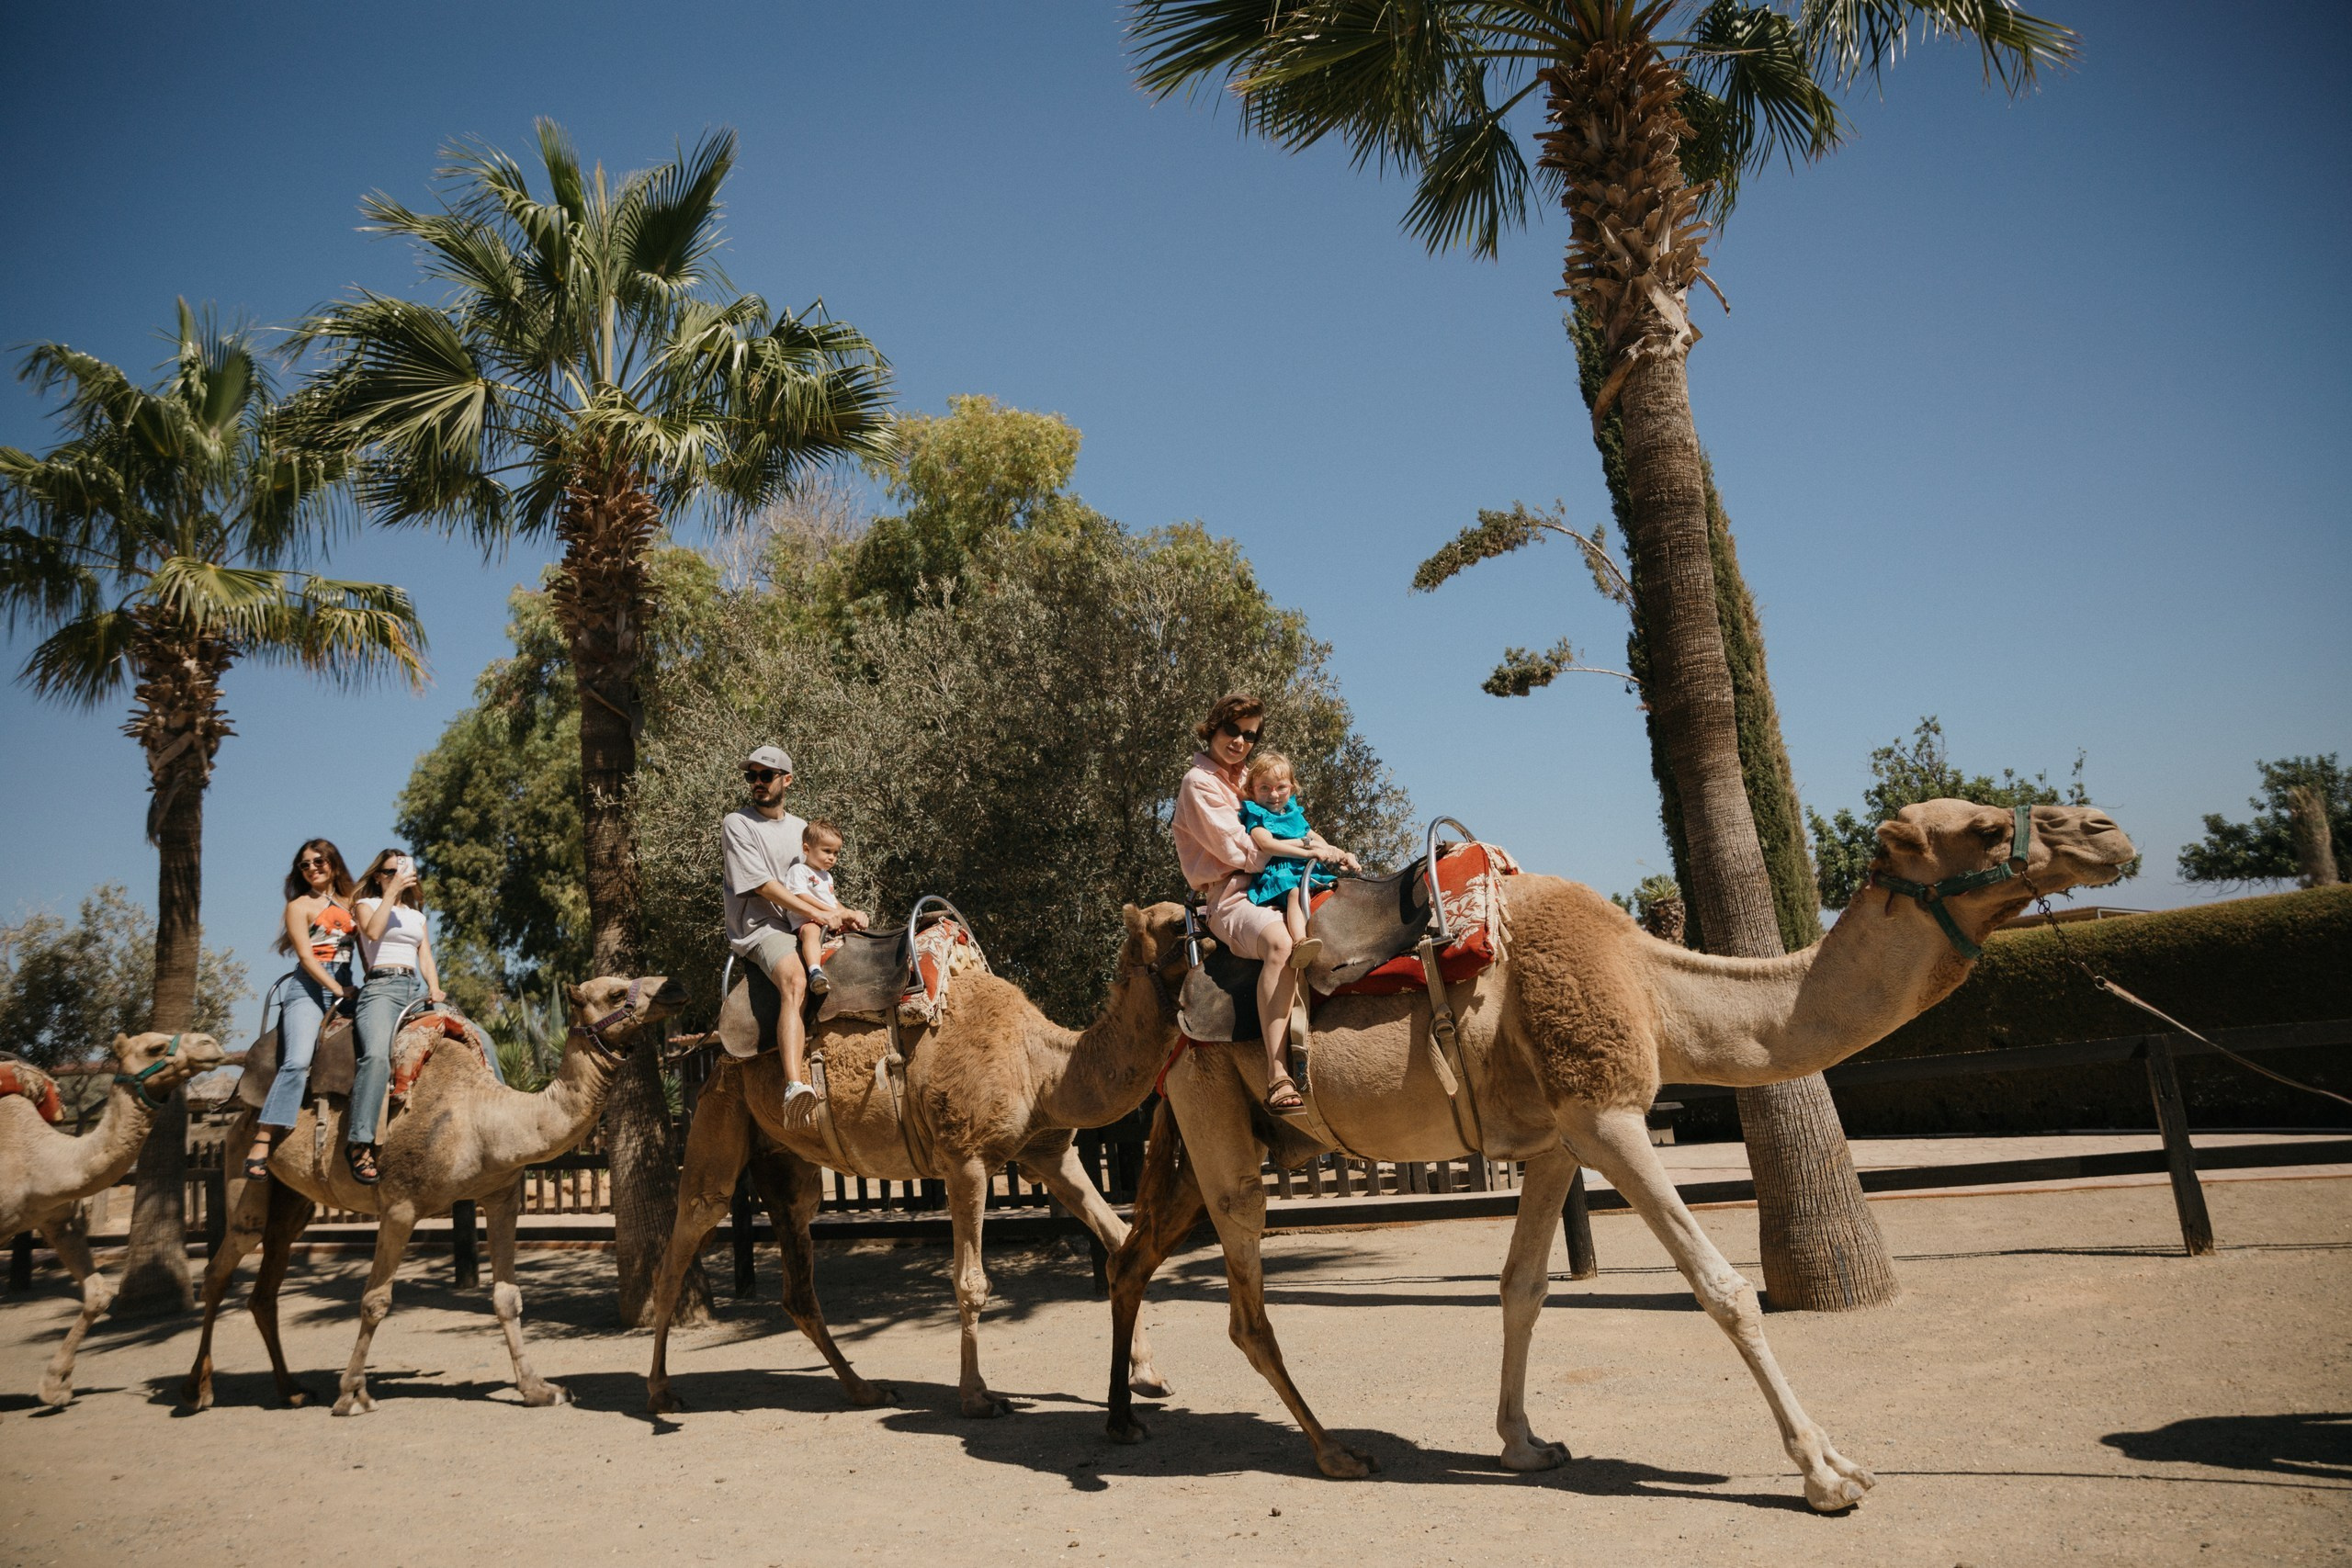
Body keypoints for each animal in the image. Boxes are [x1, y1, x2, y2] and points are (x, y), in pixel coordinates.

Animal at [180, 972, 687, 1414]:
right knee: (222, 1266)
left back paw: (291, 1390)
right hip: (246, 1170)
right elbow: (375, 1301)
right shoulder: (400, 1206)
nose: (675, 987)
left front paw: (540, 1390)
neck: (483, 1121)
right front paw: (353, 1395)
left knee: (268, 1281)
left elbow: (507, 1298)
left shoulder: (502, 1198)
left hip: (293, 1202)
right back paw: (198, 1391)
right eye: (617, 991)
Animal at [645, 901, 1193, 1419]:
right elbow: (971, 1283)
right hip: (720, 1106)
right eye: (1177, 924)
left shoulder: (1049, 1153)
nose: (1208, 937)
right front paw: (977, 1397)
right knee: (688, 1231)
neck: (1042, 1068)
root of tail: (716, 1035)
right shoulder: (965, 1160)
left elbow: (1118, 1238)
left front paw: (1148, 1376)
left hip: (786, 1160)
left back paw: (865, 1390)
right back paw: (661, 1393)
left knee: (798, 1279)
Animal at [1104, 799, 2138, 1512]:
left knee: (1134, 1254)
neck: (1650, 986)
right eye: (1987, 826)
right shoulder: (1607, 1114)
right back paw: (1333, 1451)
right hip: (1219, 1127)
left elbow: (1523, 1288)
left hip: (1202, 1137)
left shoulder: (1556, 1138)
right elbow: (1723, 1288)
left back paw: (1125, 1417)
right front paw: (1829, 1471)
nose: (2109, 830)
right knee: (1244, 1308)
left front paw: (1524, 1445)